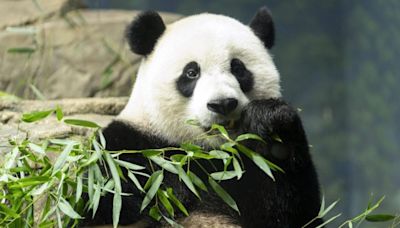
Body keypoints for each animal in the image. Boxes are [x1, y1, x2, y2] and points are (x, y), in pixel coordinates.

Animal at [83, 6, 322, 227]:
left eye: (238, 68)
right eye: (191, 72)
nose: (222, 104)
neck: (204, 152)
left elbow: (293, 211)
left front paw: (271, 126)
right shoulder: (127, 149)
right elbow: (102, 200)